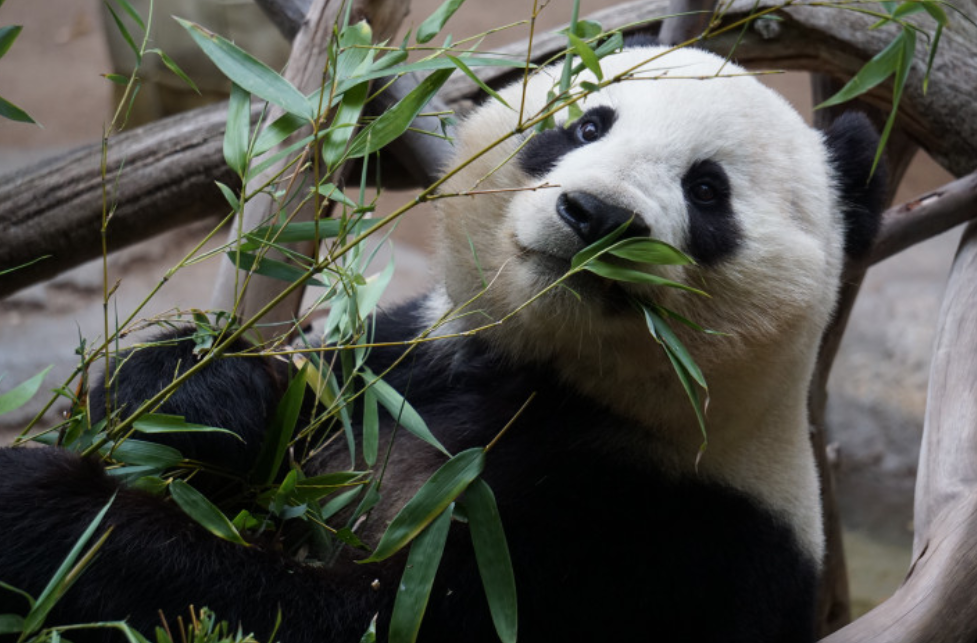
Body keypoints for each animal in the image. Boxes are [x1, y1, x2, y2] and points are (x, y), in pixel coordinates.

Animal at [0, 45, 884, 643]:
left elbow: (358, 616)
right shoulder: (407, 362)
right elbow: (276, 400)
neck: (550, 378)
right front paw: (201, 394)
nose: (595, 215)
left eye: (706, 189)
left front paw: (47, 510)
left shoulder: (667, 536)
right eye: (585, 121)